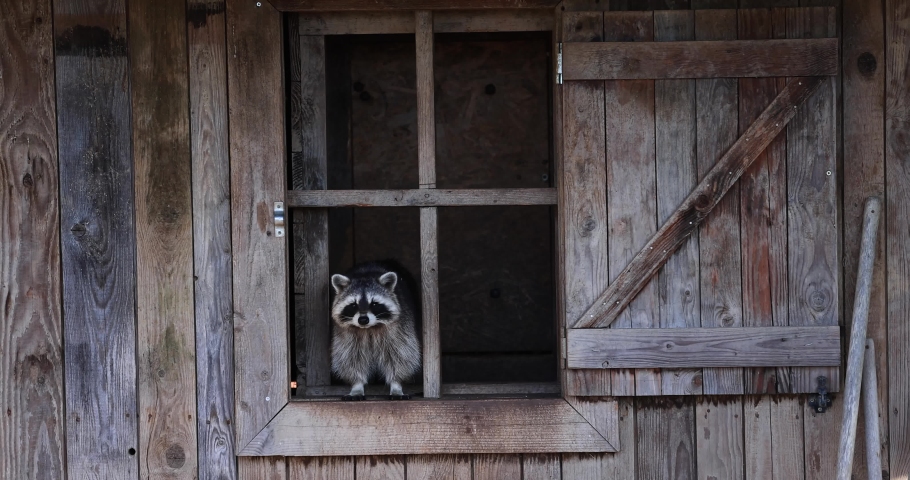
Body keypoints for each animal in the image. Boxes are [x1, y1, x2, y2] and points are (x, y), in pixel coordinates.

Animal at [330, 261, 421, 400]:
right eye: (353, 305)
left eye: (374, 304)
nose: (363, 320)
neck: (369, 328)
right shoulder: (345, 334)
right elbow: (351, 357)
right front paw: (357, 385)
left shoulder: (400, 328)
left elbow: (400, 355)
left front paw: (396, 384)